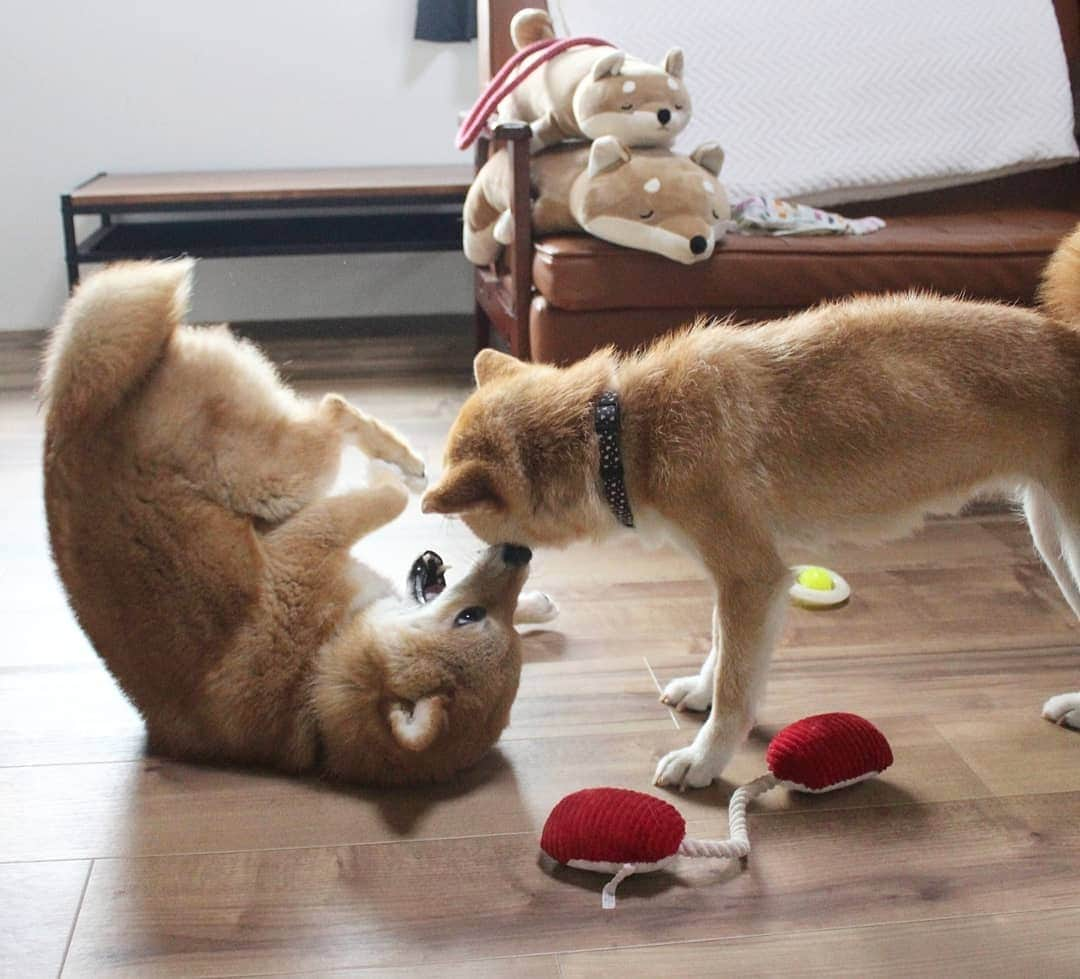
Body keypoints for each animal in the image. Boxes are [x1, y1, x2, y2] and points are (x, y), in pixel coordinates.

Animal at [42, 259, 557, 786]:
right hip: (284, 475)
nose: (520, 551)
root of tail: (76, 419)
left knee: (330, 410)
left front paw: (534, 603)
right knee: (332, 409)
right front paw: (389, 478)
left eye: (485, 616)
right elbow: (389, 498)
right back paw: (406, 464)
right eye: (468, 616)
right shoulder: (304, 542)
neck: (316, 670)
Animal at [421, 223, 1080, 786]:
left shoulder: (751, 576)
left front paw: (706, 758)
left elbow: (738, 686)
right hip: (1050, 538)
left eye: (478, 529)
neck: (624, 432)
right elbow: (720, 650)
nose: (504, 561)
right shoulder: (738, 579)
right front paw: (701, 693)